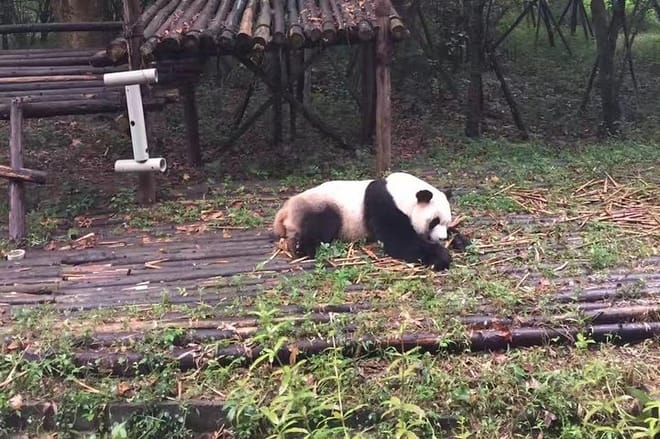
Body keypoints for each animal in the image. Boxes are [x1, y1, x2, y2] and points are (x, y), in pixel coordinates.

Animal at [272, 172, 456, 270]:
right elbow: (399, 241)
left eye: (446, 222)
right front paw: (440, 256)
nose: (442, 238)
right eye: (434, 221)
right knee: (322, 225)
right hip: (319, 207)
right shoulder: (383, 204)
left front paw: (457, 240)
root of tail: (285, 209)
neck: (402, 193)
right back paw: (304, 249)